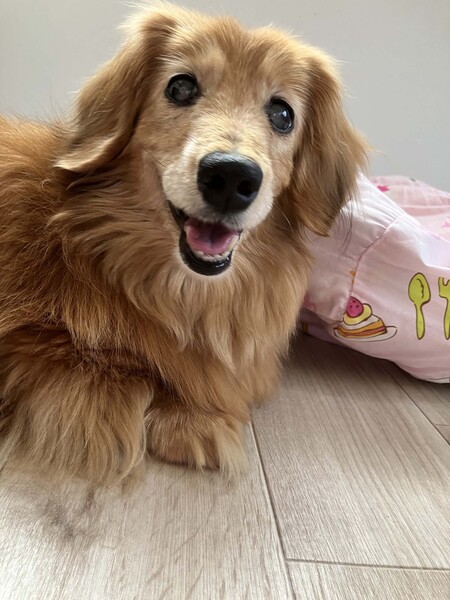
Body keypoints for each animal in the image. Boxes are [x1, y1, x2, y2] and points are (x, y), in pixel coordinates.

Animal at [0, 4, 366, 482]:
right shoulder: (35, 347)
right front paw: (194, 419)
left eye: (283, 114)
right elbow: (134, 369)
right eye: (181, 86)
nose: (230, 176)